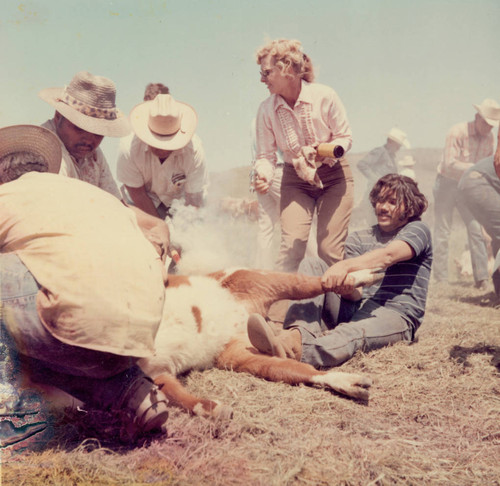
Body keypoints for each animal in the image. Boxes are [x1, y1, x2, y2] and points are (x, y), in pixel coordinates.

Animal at [137, 266, 378, 418]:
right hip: (239, 354)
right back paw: (352, 384)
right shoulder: (158, 374)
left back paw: (365, 276)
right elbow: (178, 397)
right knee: (291, 368)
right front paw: (214, 410)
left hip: (262, 279)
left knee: (314, 283)